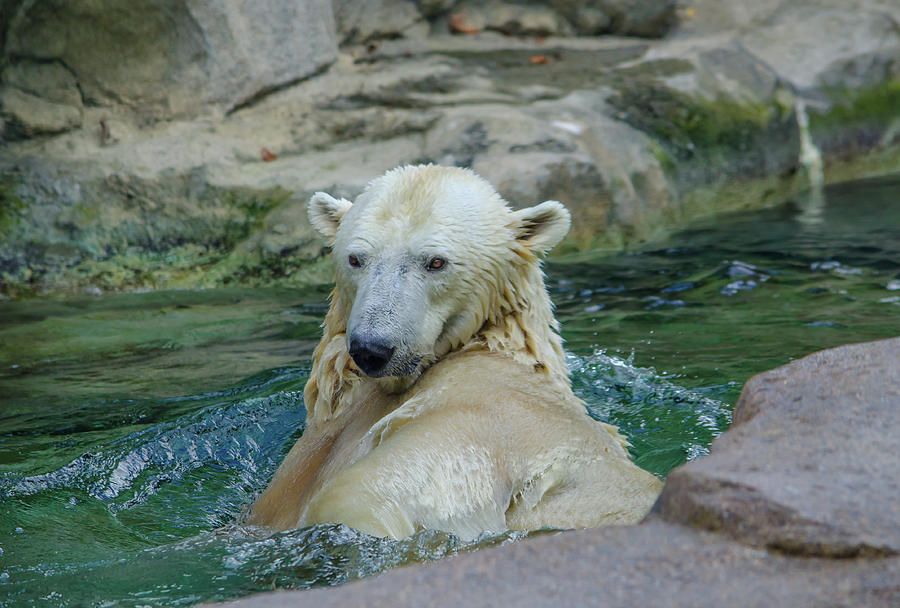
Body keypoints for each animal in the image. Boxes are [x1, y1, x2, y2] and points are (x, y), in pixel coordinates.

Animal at [246, 164, 660, 540]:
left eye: (436, 262)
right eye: (355, 258)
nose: (372, 349)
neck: (491, 344)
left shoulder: (489, 417)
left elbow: (373, 491)